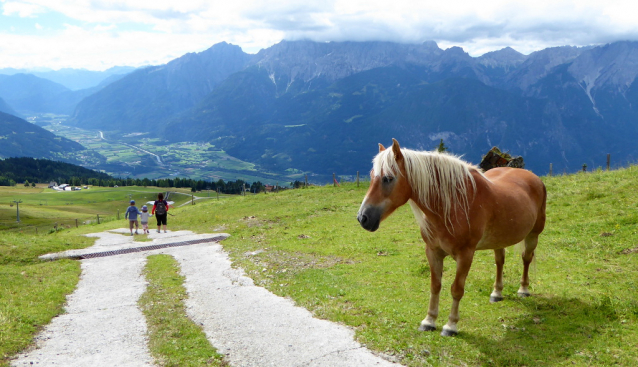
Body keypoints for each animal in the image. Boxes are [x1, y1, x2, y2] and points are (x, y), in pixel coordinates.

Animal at [358, 139, 548, 336]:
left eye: (388, 178)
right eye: (371, 176)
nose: (363, 218)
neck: (452, 205)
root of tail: (533, 178)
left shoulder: (465, 255)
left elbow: (457, 289)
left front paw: (450, 325)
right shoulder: (433, 252)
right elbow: (435, 285)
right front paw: (429, 321)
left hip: (533, 235)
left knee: (526, 258)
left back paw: (523, 289)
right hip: (499, 239)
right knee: (500, 261)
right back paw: (496, 293)